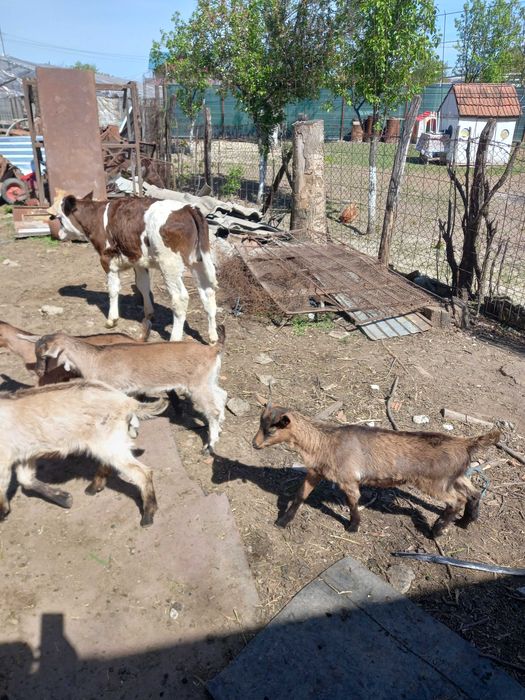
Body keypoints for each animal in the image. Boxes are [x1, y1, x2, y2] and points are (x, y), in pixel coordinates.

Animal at [50, 194, 218, 343]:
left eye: (60, 218)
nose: (58, 234)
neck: (97, 218)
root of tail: (187, 208)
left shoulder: (107, 259)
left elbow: (113, 289)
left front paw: (111, 320)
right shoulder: (138, 261)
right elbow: (143, 286)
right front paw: (149, 314)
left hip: (169, 265)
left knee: (180, 298)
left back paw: (175, 339)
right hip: (199, 261)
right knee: (208, 292)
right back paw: (213, 337)